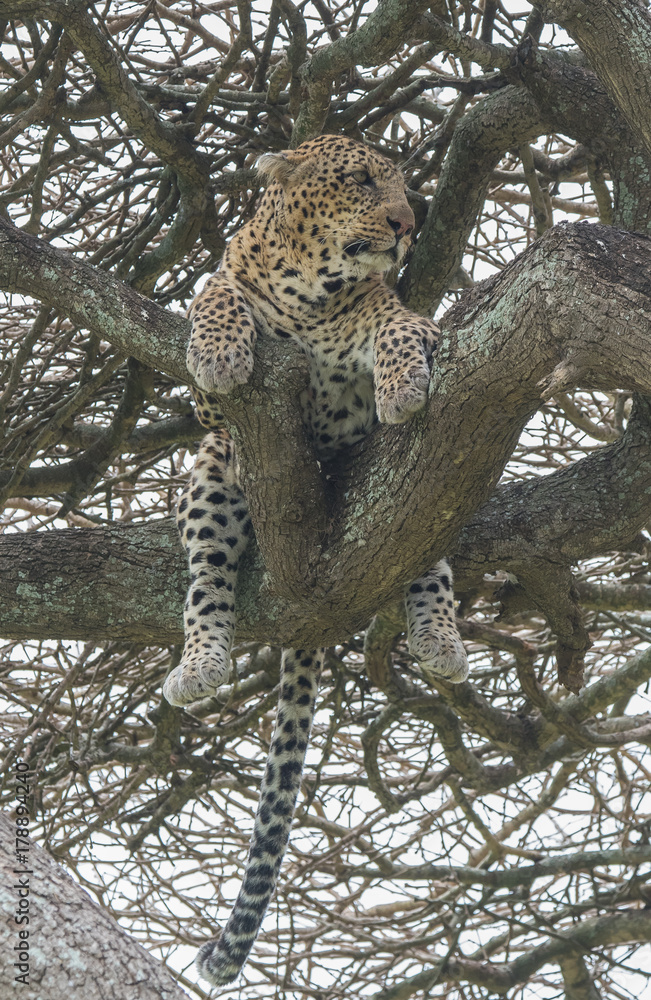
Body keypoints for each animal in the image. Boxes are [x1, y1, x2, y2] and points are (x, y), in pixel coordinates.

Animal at [162, 134, 469, 987]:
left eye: (403, 188)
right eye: (361, 181)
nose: (405, 224)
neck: (308, 287)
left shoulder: (385, 317)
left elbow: (397, 324)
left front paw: (402, 384)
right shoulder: (213, 403)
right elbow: (215, 298)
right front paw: (219, 350)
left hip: (415, 489)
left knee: (425, 555)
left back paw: (440, 639)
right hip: (213, 470)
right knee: (208, 581)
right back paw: (200, 663)